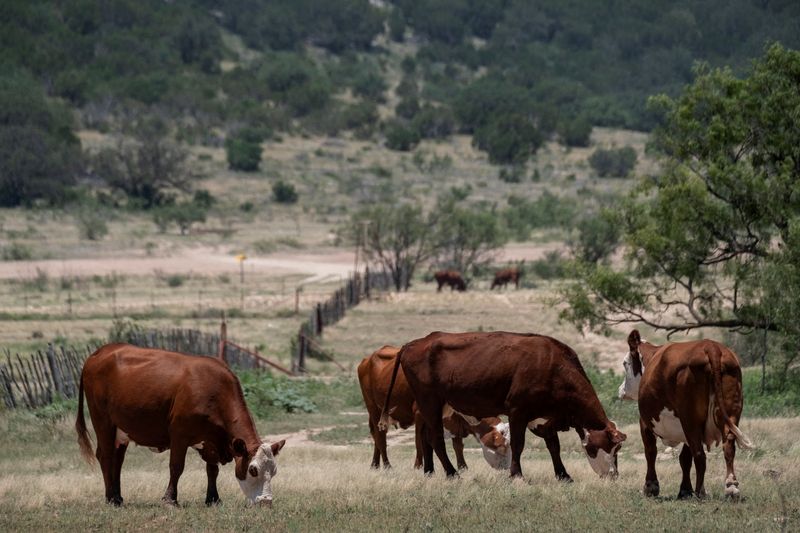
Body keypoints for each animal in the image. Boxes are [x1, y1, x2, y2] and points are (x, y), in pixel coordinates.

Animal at [76, 343, 286, 507]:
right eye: (253, 470)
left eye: (274, 471)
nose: (266, 503)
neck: (214, 391)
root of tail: (99, 353)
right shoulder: (179, 434)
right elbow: (176, 467)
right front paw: (170, 500)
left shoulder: (210, 439)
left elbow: (212, 470)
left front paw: (213, 499)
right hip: (103, 421)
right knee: (105, 456)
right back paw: (110, 498)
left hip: (122, 430)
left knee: (118, 460)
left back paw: (118, 497)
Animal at [358, 345, 511, 471]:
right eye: (502, 447)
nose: (508, 468)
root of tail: (368, 358)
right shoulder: (420, 414)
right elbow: (419, 442)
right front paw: (419, 467)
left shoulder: (455, 422)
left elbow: (458, 446)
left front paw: (462, 467)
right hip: (373, 408)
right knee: (380, 437)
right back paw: (387, 465)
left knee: (377, 437)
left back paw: (375, 465)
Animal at [379, 331, 626, 480]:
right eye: (612, 447)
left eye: (618, 449)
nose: (614, 474)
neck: (553, 365)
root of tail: (413, 343)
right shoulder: (518, 411)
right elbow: (518, 445)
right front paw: (517, 475)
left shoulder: (544, 418)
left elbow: (553, 446)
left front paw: (563, 475)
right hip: (429, 401)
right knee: (436, 439)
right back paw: (451, 473)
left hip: (434, 405)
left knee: (425, 437)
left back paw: (430, 471)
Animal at [618, 330, 754, 499]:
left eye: (625, 363)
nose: (621, 389)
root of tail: (711, 347)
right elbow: (685, 458)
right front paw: (685, 490)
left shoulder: (645, 422)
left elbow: (651, 452)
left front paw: (651, 486)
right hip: (729, 414)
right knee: (728, 447)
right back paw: (731, 487)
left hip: (690, 419)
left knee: (700, 454)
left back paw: (700, 492)